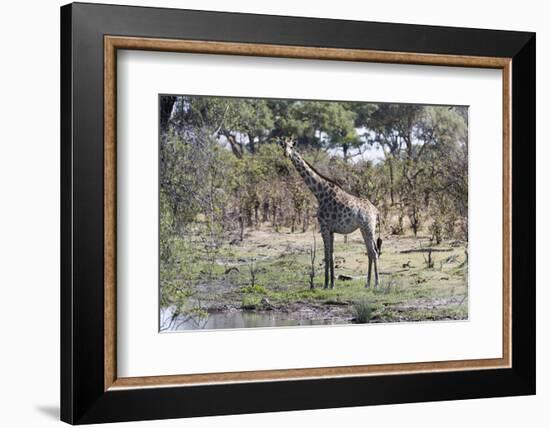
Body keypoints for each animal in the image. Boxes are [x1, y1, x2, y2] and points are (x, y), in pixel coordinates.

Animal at [280, 139, 384, 290]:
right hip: (363, 229)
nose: (286, 154)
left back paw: (376, 284)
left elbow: (327, 255)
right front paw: (331, 284)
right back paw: (367, 283)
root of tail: (376, 210)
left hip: (369, 227)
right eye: (283, 146)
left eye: (292, 147)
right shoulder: (331, 229)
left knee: (374, 252)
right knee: (370, 252)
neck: (319, 193)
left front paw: (325, 285)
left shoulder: (324, 226)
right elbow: (332, 255)